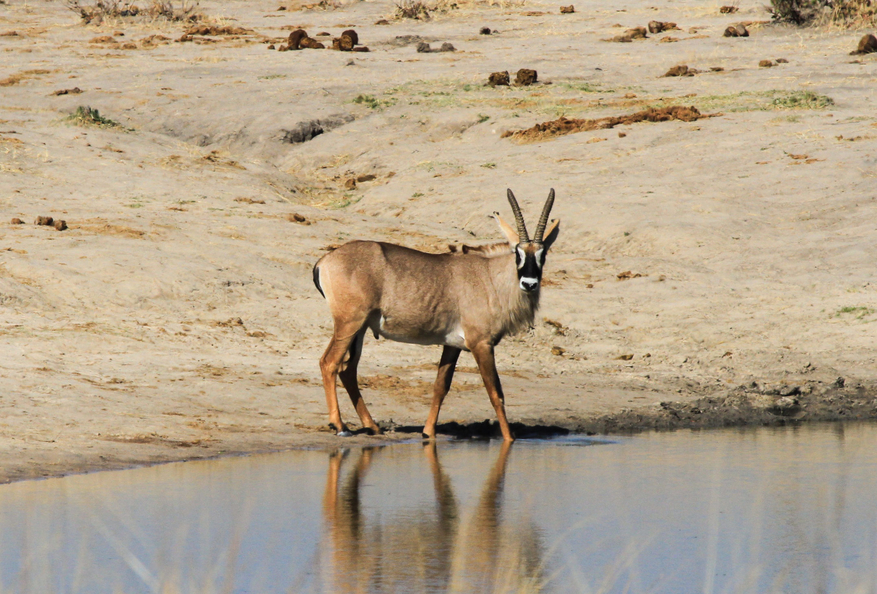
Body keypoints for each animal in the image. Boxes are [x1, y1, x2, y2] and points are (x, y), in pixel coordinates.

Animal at [314, 188, 560, 440]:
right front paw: (510, 438)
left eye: (543, 254)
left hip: (360, 329)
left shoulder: (452, 345)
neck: (488, 276)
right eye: (517, 253)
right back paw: (340, 426)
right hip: (349, 323)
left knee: (347, 369)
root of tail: (324, 261)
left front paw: (428, 432)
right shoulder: (482, 344)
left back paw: (372, 426)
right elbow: (495, 392)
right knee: (329, 362)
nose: (529, 284)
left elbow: (441, 386)